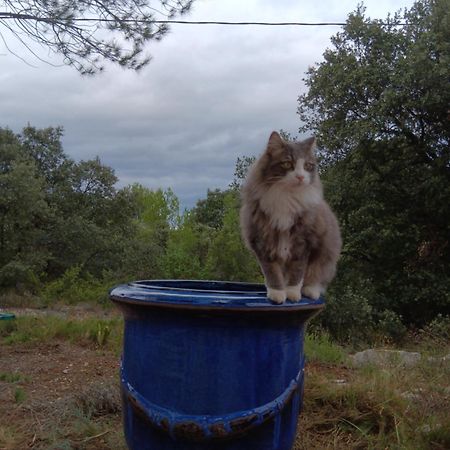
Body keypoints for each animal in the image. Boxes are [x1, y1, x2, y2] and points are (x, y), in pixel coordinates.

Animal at [239, 132, 342, 304]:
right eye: (287, 164)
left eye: (307, 166)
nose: (300, 177)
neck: (286, 198)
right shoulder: (262, 241)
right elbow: (272, 272)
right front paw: (278, 294)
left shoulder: (304, 243)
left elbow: (297, 272)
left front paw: (293, 294)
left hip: (326, 255)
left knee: (317, 278)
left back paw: (310, 291)